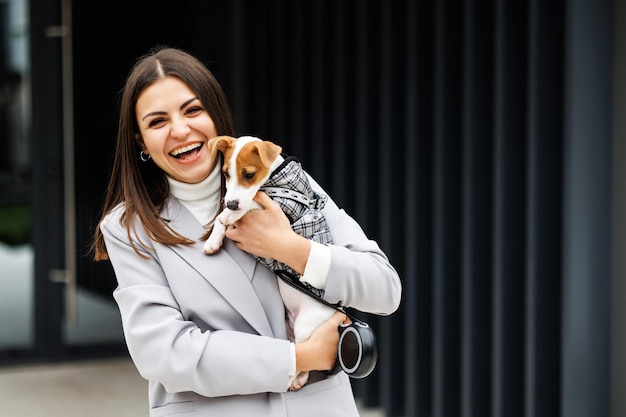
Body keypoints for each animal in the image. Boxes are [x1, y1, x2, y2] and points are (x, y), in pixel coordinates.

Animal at [201, 136, 336, 390]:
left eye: (249, 174)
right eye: (226, 174)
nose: (231, 203)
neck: (273, 179)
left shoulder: (283, 205)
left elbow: (249, 206)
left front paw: (228, 215)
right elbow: (224, 220)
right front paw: (214, 239)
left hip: (306, 324)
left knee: (304, 356)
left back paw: (293, 379)